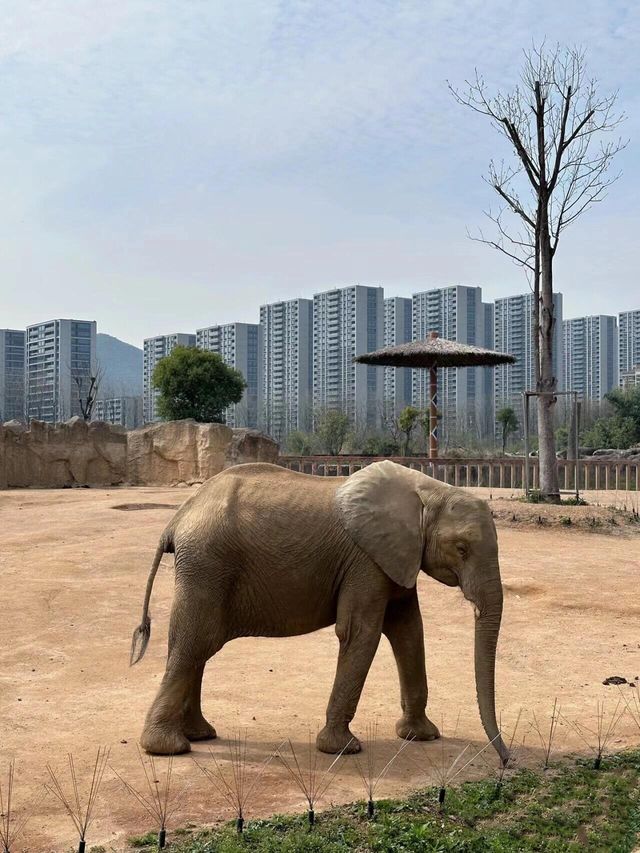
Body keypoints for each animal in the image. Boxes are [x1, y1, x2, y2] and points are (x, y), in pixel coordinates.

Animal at [131, 456, 510, 764]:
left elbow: (408, 630)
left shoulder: (397, 558)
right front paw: (343, 749)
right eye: (461, 549)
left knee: (195, 645)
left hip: (206, 569)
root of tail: (178, 518)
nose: (506, 761)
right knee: (197, 642)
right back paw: (168, 748)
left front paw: (421, 736)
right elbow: (361, 632)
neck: (427, 490)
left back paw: (200, 735)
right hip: (207, 565)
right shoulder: (366, 561)